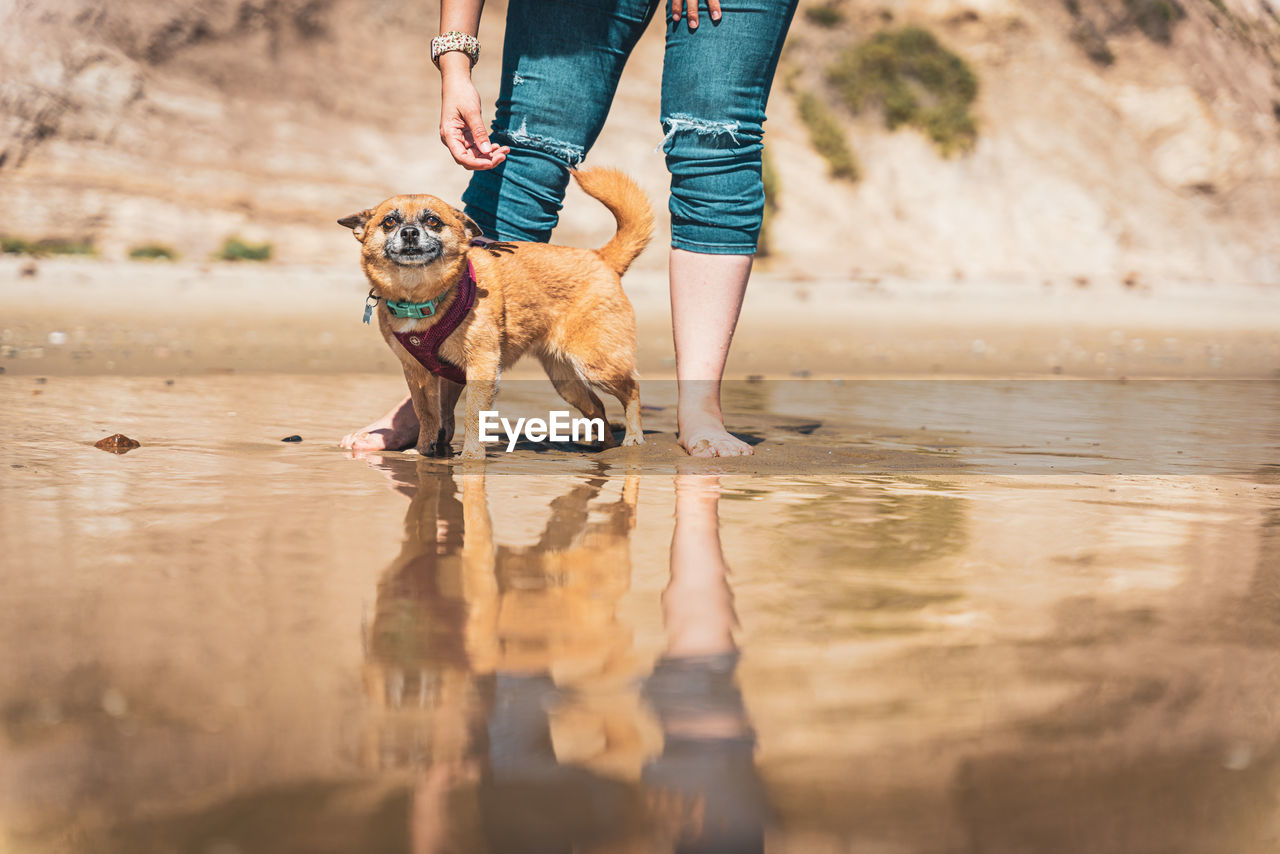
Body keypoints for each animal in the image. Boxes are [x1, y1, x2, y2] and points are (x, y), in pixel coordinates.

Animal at [337, 167, 650, 460]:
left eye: (433, 221)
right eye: (389, 222)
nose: (410, 232)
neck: (421, 296)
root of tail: (601, 257)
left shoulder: (481, 365)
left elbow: (474, 413)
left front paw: (471, 456)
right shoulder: (419, 372)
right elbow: (427, 413)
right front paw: (425, 451)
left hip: (597, 364)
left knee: (633, 390)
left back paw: (633, 438)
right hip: (566, 380)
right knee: (597, 406)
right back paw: (605, 446)